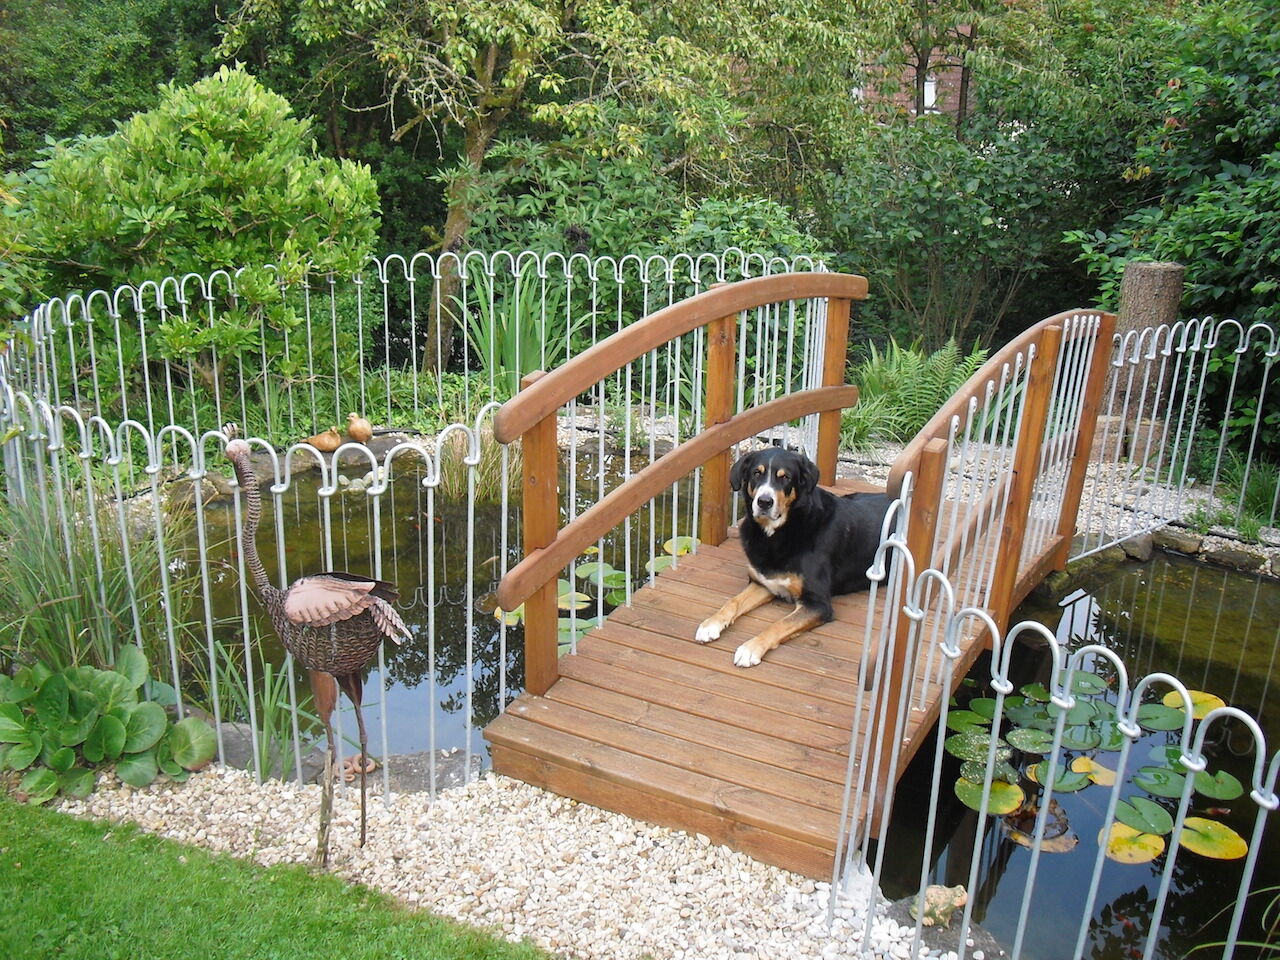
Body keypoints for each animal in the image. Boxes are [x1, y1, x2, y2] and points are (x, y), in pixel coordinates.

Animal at [701, 450, 890, 670]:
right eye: (756, 473)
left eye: (786, 478)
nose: (764, 502)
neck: (777, 533)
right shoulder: (763, 583)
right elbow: (733, 601)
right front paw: (711, 623)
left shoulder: (817, 604)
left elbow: (779, 624)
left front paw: (750, 648)